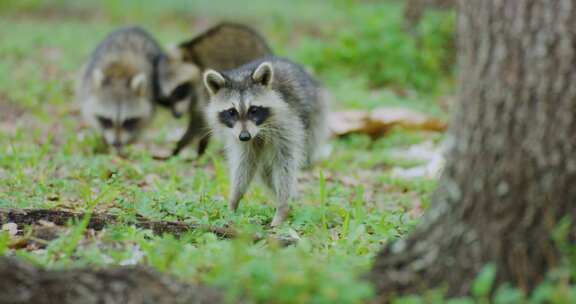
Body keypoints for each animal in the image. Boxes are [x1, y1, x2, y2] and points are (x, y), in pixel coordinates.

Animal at [202, 57, 328, 226]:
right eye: (232, 112)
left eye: (254, 110)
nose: (244, 136)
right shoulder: (239, 137)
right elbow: (244, 164)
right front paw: (234, 200)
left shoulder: (287, 124)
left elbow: (285, 165)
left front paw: (282, 207)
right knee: (265, 174)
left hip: (315, 115)